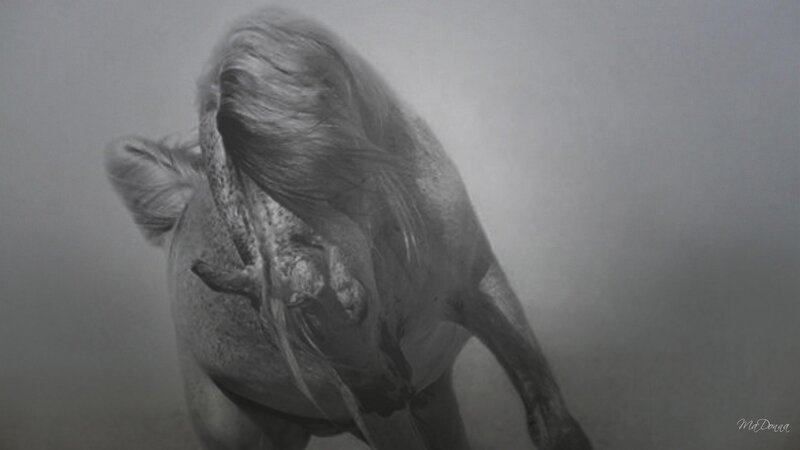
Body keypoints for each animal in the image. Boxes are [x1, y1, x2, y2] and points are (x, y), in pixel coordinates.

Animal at [105, 7, 591, 450]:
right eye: (270, 325)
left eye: (358, 301)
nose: (383, 395)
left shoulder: (481, 284)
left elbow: (553, 419)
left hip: (430, 393)